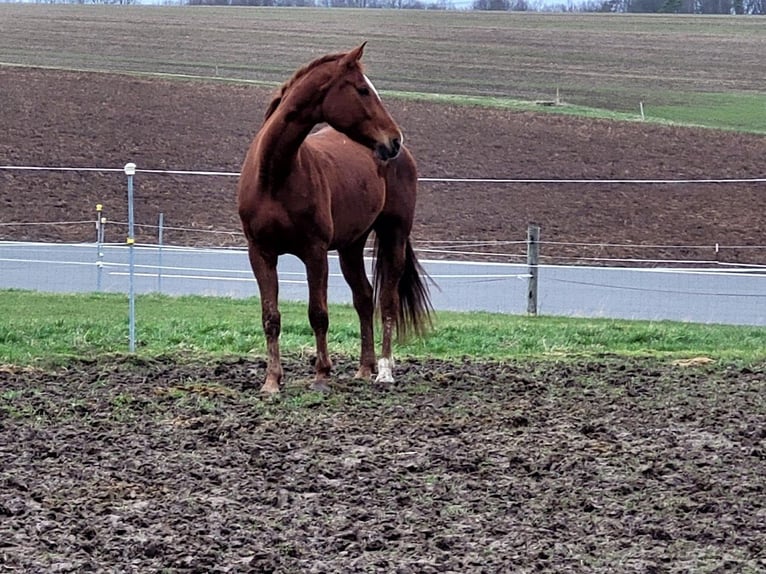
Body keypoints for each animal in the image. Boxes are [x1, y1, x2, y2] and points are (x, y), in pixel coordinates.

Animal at [237, 44, 432, 396]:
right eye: (362, 90)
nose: (394, 140)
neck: (275, 176)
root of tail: (403, 158)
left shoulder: (314, 252)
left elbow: (318, 314)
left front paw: (322, 375)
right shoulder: (260, 253)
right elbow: (270, 317)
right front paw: (272, 381)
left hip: (393, 234)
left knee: (387, 300)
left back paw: (384, 370)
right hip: (350, 247)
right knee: (364, 298)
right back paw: (364, 368)